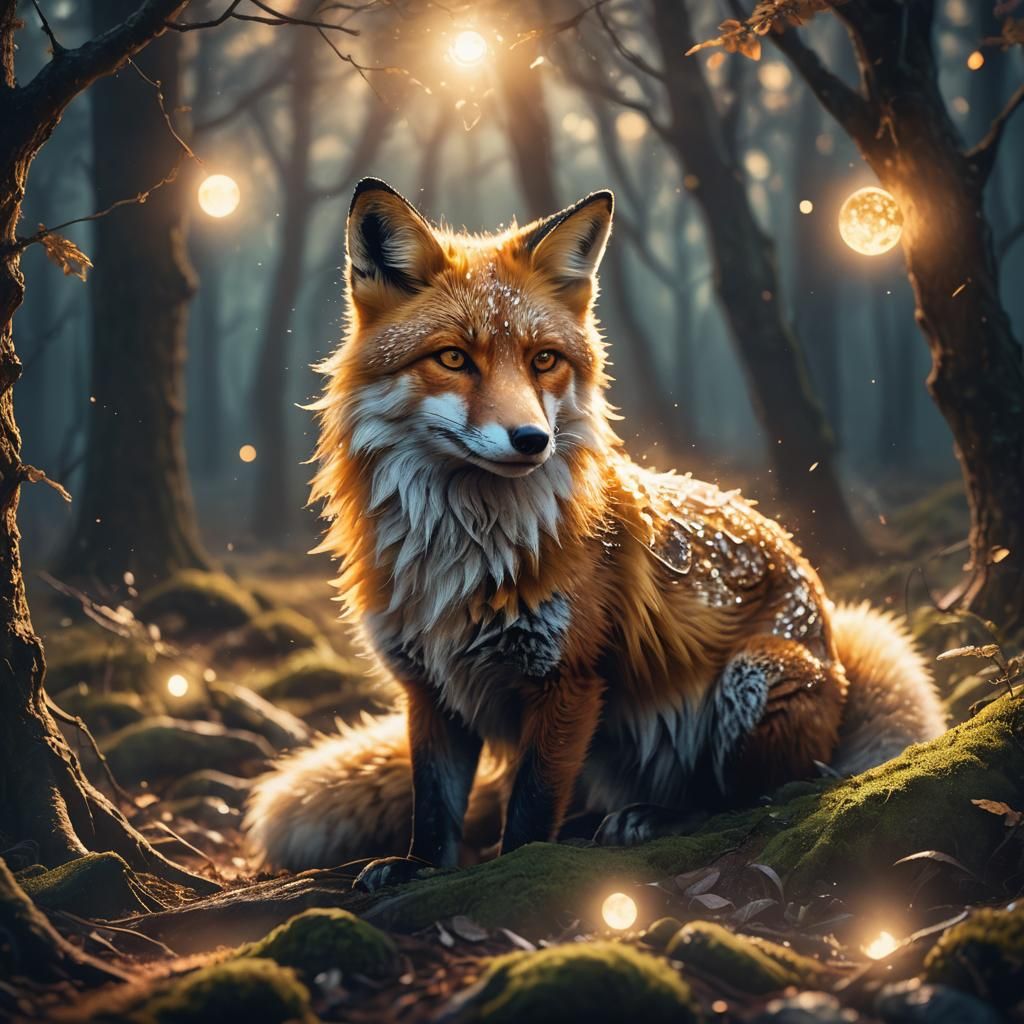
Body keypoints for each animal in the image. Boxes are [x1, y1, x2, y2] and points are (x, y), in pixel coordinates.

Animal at [244, 178, 947, 889]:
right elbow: (435, 810)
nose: (533, 439)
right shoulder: (430, 688)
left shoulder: (569, 679)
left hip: (755, 677)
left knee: (758, 793)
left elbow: (528, 812)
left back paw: (656, 816)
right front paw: (417, 869)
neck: (463, 555)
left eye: (544, 360)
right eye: (454, 358)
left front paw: (516, 872)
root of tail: (829, 624)